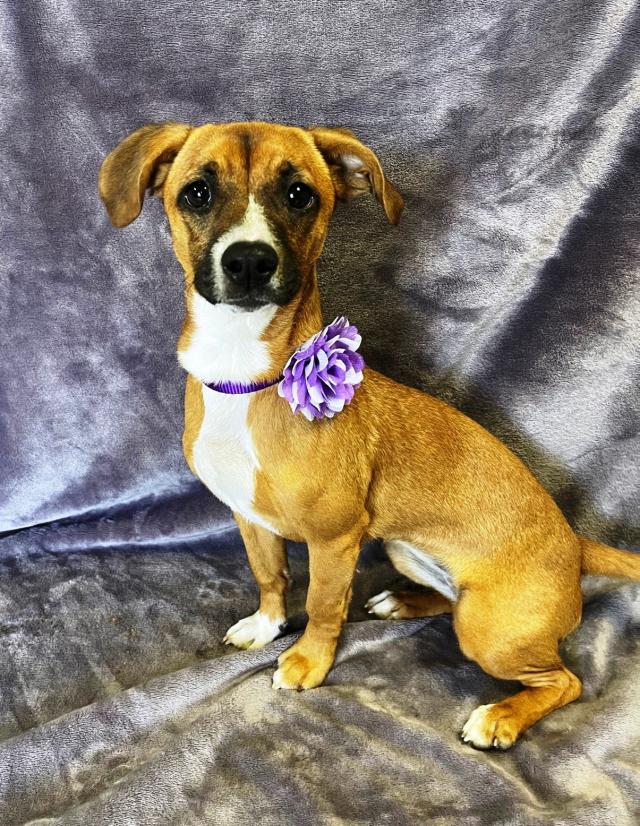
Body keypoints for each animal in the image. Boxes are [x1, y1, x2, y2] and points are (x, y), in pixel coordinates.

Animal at [99, 120, 640, 748]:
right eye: (197, 192)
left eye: (300, 194)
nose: (250, 261)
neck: (245, 376)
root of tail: (575, 543)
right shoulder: (248, 516)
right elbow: (270, 575)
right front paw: (267, 625)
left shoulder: (335, 540)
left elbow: (322, 603)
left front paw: (307, 660)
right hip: (413, 557)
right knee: (450, 603)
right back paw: (403, 602)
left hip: (490, 631)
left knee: (564, 681)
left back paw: (501, 717)